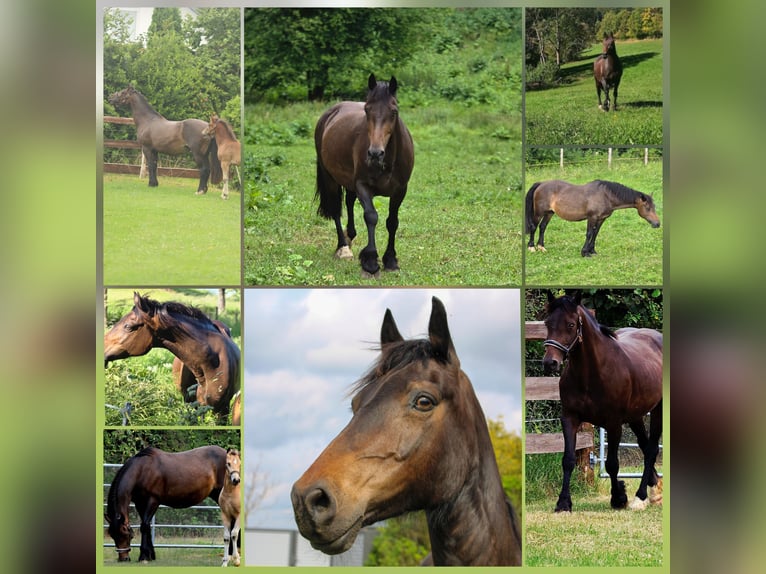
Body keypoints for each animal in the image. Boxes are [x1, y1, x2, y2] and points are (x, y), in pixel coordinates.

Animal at [314, 74, 415, 278]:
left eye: (394, 111)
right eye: (367, 110)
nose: (375, 153)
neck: (388, 162)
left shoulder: (400, 190)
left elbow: (392, 222)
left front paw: (390, 260)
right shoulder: (363, 186)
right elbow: (371, 216)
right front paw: (370, 262)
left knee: (349, 201)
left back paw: (350, 236)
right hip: (330, 178)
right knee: (336, 209)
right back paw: (343, 248)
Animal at [525, 179, 660, 257]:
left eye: (654, 206)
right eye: (647, 207)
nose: (657, 224)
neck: (606, 195)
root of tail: (541, 184)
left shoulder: (601, 219)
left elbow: (595, 234)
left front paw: (592, 251)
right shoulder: (592, 217)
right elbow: (589, 234)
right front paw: (585, 252)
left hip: (549, 213)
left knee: (542, 227)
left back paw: (541, 247)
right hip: (539, 213)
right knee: (534, 227)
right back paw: (531, 248)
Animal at [541, 292, 663, 512]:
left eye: (571, 324)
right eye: (547, 323)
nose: (550, 363)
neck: (592, 373)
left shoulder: (614, 423)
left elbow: (612, 463)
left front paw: (618, 498)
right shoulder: (570, 418)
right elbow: (568, 460)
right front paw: (563, 503)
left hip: (658, 409)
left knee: (651, 449)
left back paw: (640, 497)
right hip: (635, 415)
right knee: (644, 445)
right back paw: (654, 489)